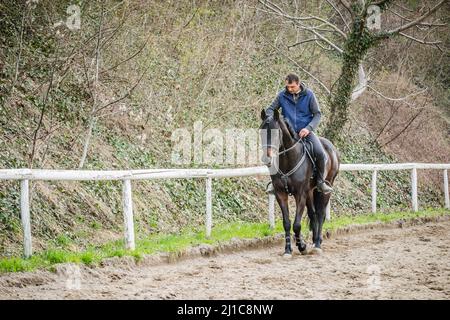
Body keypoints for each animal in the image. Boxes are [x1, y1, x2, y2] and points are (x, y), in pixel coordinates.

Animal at [258, 109, 340, 256]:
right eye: (261, 131)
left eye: (276, 132)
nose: (267, 158)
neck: (288, 160)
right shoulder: (281, 194)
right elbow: (286, 223)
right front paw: (288, 250)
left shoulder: (300, 194)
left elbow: (296, 224)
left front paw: (302, 246)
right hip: (310, 192)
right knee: (313, 214)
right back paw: (314, 240)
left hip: (325, 187)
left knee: (320, 214)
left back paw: (317, 244)